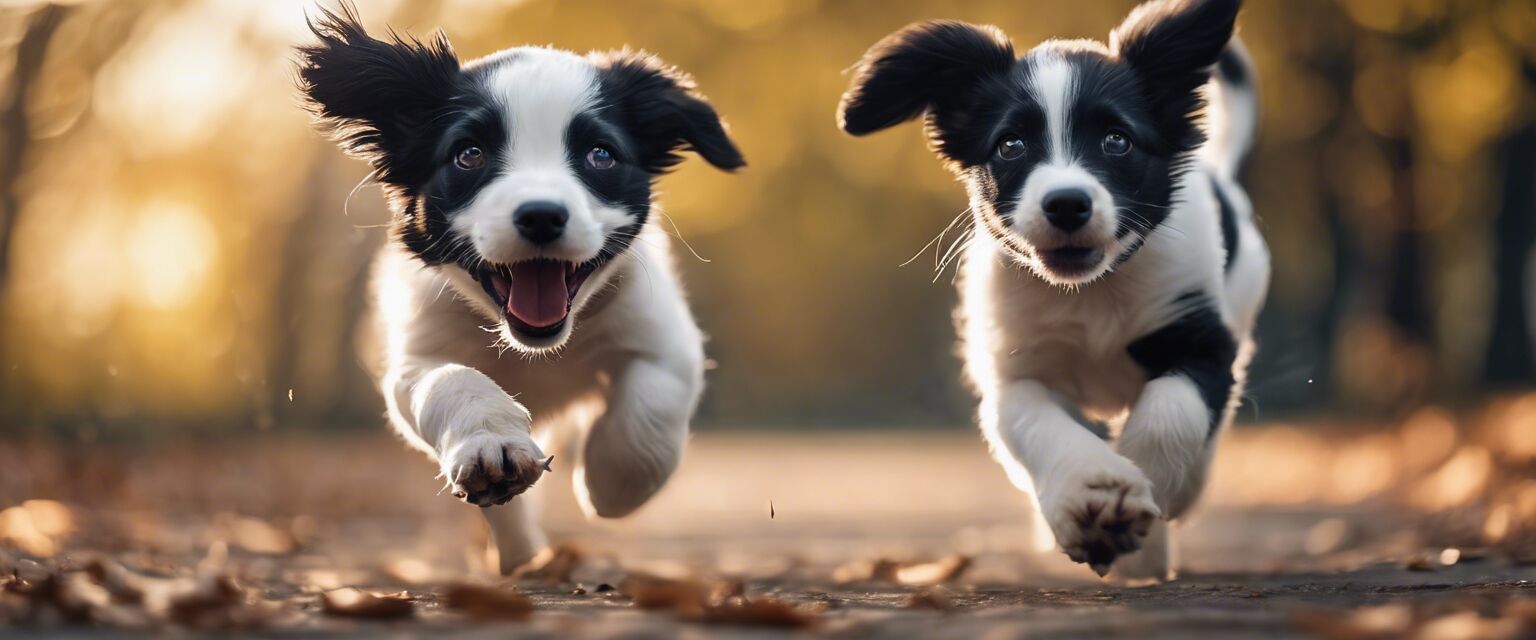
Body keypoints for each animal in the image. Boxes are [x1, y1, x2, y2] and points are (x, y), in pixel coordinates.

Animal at [294, 3, 743, 574]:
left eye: (601, 155)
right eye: (468, 155)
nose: (542, 214)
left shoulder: (664, 335)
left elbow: (651, 406)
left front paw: (611, 485)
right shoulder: (415, 355)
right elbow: (449, 381)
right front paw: (493, 446)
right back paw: (519, 550)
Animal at [841, 0, 1271, 577]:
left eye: (1117, 140)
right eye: (1011, 145)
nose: (1067, 203)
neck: (1090, 292)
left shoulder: (1202, 336)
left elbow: (1171, 411)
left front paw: (1150, 502)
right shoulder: (1014, 370)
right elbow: (1037, 422)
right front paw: (1092, 498)